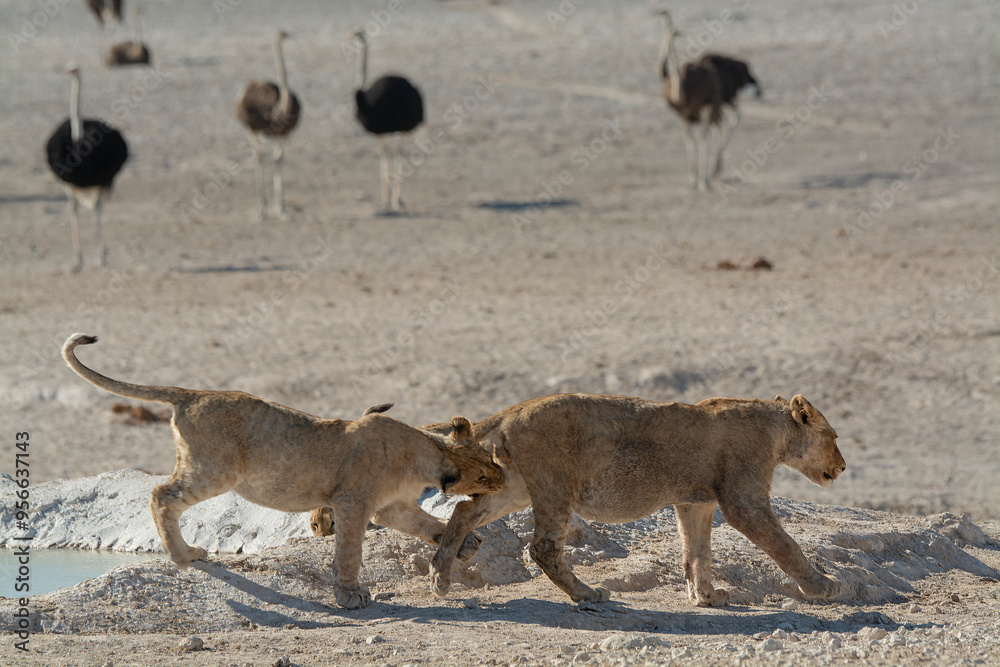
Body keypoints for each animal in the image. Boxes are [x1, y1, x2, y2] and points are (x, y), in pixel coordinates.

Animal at [62, 334, 505, 609]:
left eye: (491, 460)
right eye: (484, 476)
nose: (502, 482)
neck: (426, 451)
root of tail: (191, 394)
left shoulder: (388, 505)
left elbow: (424, 522)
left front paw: (465, 542)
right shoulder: (353, 502)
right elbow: (350, 552)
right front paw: (350, 595)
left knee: (166, 498)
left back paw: (189, 551)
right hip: (214, 471)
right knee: (160, 496)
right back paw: (182, 556)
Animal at [429, 392, 845, 606]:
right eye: (834, 436)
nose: (842, 467)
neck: (777, 433)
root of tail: (514, 409)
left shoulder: (695, 503)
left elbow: (698, 553)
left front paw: (706, 596)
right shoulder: (744, 501)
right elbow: (785, 545)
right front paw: (822, 586)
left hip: (515, 485)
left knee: (464, 510)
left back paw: (440, 578)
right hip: (555, 484)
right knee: (543, 548)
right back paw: (587, 594)